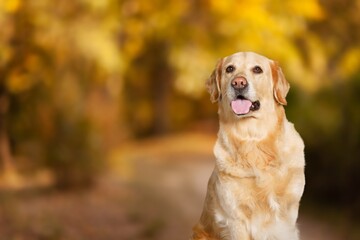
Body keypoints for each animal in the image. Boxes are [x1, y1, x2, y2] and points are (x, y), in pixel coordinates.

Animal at [190, 51, 306, 239]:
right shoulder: (235, 218)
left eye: (257, 69)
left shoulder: (288, 217)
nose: (238, 83)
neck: (254, 140)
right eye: (230, 69)